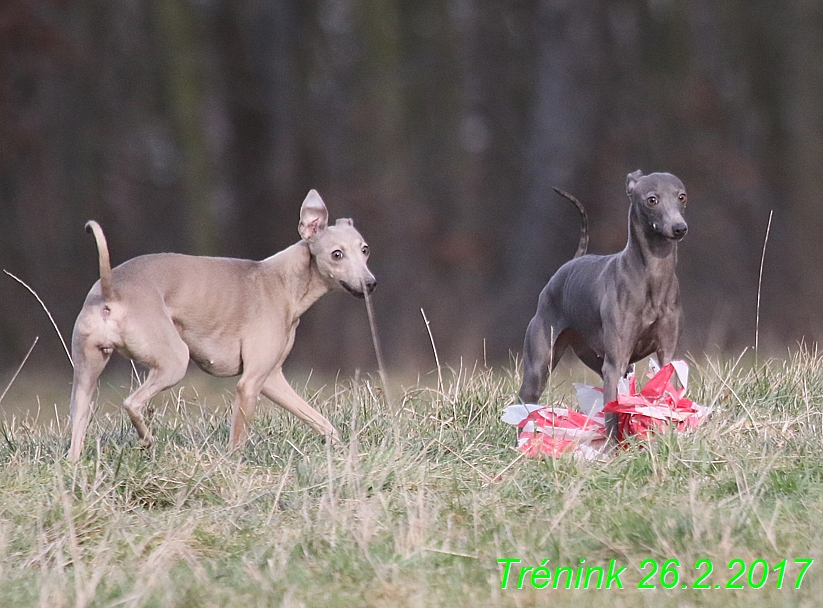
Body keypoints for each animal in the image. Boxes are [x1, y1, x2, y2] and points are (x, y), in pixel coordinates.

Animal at [520, 171, 688, 442]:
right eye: (652, 199)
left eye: (681, 196)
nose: (679, 228)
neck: (652, 277)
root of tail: (568, 265)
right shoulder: (614, 365)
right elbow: (612, 413)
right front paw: (611, 447)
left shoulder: (667, 355)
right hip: (539, 365)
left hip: (595, 357)